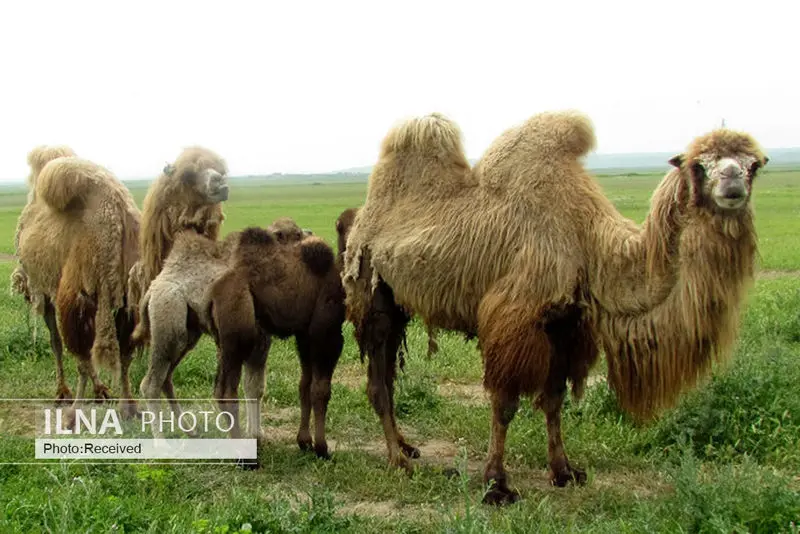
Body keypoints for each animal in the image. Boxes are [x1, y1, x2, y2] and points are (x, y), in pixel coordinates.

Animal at [209, 222, 344, 464]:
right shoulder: (326, 333)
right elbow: (321, 390)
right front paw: (322, 449)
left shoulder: (304, 335)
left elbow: (304, 385)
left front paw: (304, 442)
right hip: (238, 331)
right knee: (227, 390)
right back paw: (245, 459)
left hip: (223, 342)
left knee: (219, 387)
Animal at [344, 112, 768, 506]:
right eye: (698, 166)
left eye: (755, 165)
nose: (732, 187)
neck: (587, 242)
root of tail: (361, 219)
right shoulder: (515, 318)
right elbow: (505, 404)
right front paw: (496, 485)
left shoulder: (565, 325)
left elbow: (554, 402)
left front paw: (564, 471)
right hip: (371, 293)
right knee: (378, 381)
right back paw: (398, 461)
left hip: (399, 304)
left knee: (388, 376)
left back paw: (406, 446)